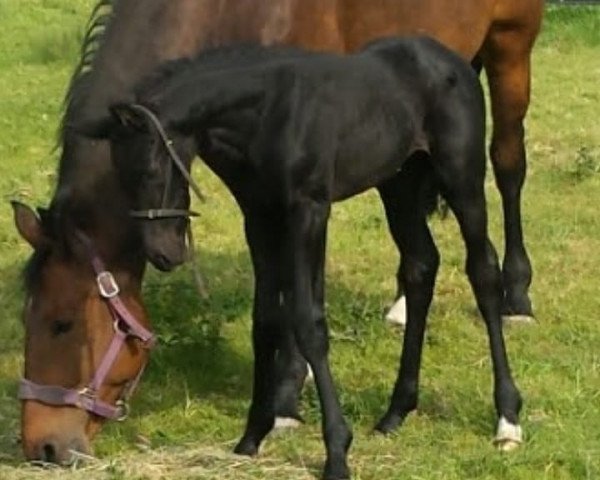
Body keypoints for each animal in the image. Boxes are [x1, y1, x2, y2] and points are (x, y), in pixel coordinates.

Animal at [15, 0, 544, 464]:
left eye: (63, 323)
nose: (44, 447)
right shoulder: (259, 210)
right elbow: (267, 315)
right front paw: (257, 429)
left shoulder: (308, 207)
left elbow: (308, 312)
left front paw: (309, 423)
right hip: (399, 179)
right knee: (421, 265)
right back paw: (397, 405)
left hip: (495, 88)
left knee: (496, 213)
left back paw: (509, 392)